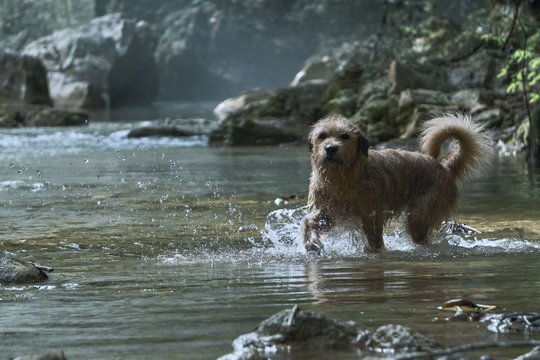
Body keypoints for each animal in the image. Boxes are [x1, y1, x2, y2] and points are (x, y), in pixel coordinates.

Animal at [302, 114, 492, 253]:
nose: (330, 148)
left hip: (420, 215)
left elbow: (374, 240)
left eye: (344, 136)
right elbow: (308, 222)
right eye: (322, 136)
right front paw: (311, 243)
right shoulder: (331, 213)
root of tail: (445, 168)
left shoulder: (372, 215)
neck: (342, 179)